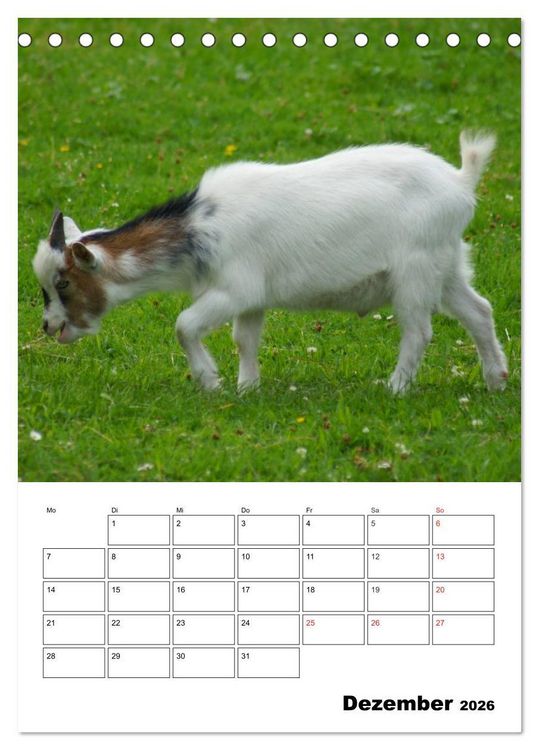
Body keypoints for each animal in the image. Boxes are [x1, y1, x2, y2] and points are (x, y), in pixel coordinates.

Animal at [32, 132, 508, 393]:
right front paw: (248, 388)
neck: (199, 227)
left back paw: (394, 388)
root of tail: (460, 182)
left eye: (64, 283)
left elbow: (184, 325)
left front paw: (211, 381)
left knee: (418, 330)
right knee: (479, 311)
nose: (49, 327)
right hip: (447, 264)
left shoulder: (233, 289)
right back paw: (496, 379)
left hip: (415, 270)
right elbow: (245, 340)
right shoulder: (252, 299)